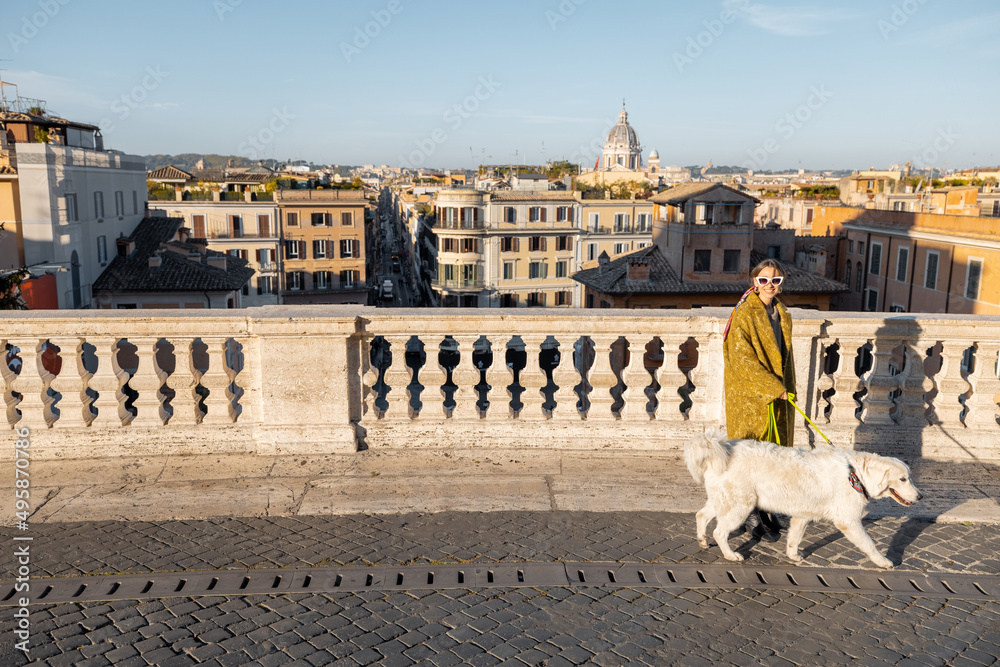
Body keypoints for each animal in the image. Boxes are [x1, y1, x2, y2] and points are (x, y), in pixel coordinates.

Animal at [688, 428, 920, 568]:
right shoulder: (848, 521)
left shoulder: (802, 516)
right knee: (719, 532)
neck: (855, 473)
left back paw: (702, 541)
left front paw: (793, 556)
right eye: (903, 479)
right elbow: (869, 544)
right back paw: (730, 554)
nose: (920, 496)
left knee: (701, 516)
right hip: (740, 506)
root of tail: (722, 449)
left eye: (909, 477)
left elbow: (794, 539)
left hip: (723, 501)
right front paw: (883, 561)